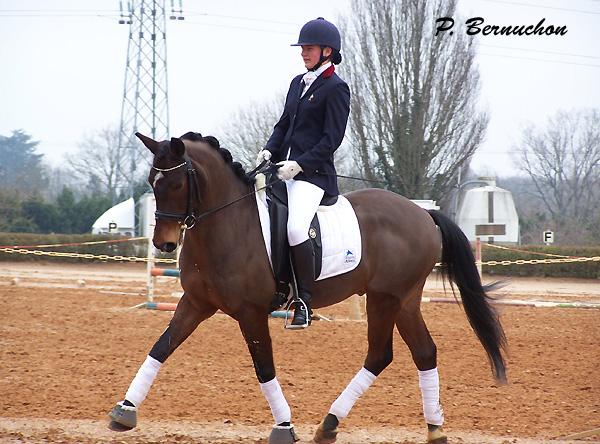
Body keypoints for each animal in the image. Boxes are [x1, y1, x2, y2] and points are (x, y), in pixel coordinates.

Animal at [108, 133, 506, 444]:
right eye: (151, 181)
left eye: (176, 184)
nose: (163, 244)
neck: (227, 223)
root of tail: (424, 214)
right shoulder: (195, 302)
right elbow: (160, 348)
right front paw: (124, 410)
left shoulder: (251, 312)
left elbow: (263, 366)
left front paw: (284, 426)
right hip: (403, 301)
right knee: (420, 353)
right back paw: (424, 429)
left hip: (386, 299)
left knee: (383, 354)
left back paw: (337, 424)